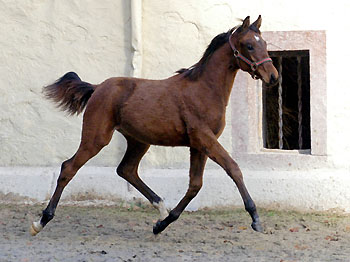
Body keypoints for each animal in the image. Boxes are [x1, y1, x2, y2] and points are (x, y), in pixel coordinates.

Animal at [32, 15, 278, 236]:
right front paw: (255, 219)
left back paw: (161, 209)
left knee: (126, 170)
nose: (273, 76)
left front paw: (161, 225)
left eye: (265, 44)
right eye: (249, 45)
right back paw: (41, 221)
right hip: (96, 138)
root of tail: (97, 87)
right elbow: (233, 168)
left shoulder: (198, 145)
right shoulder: (204, 138)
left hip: (139, 141)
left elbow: (195, 185)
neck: (204, 89)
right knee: (69, 168)